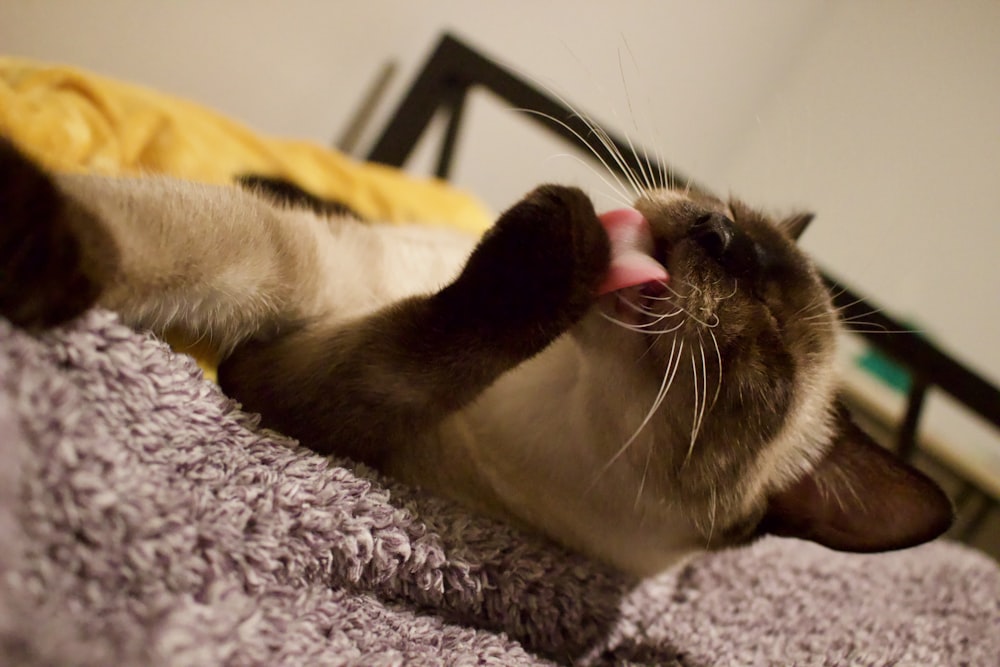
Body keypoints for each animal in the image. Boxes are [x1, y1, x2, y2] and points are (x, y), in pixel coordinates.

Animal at [0, 140, 952, 580]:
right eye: (727, 215)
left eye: (770, 347)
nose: (716, 234)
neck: (556, 380)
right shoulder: (316, 267)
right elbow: (164, 239)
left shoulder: (298, 382)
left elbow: (424, 343)